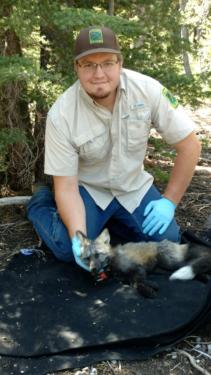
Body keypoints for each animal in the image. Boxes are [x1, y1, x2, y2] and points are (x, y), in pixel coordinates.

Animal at [76, 228, 211, 298]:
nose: (93, 270)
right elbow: (135, 283)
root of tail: (182, 245)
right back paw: (203, 278)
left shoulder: (137, 268)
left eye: (98, 255)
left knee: (191, 264)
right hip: (162, 269)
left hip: (169, 262)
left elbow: (137, 283)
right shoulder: (129, 276)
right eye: (87, 258)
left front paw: (149, 289)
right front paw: (150, 287)